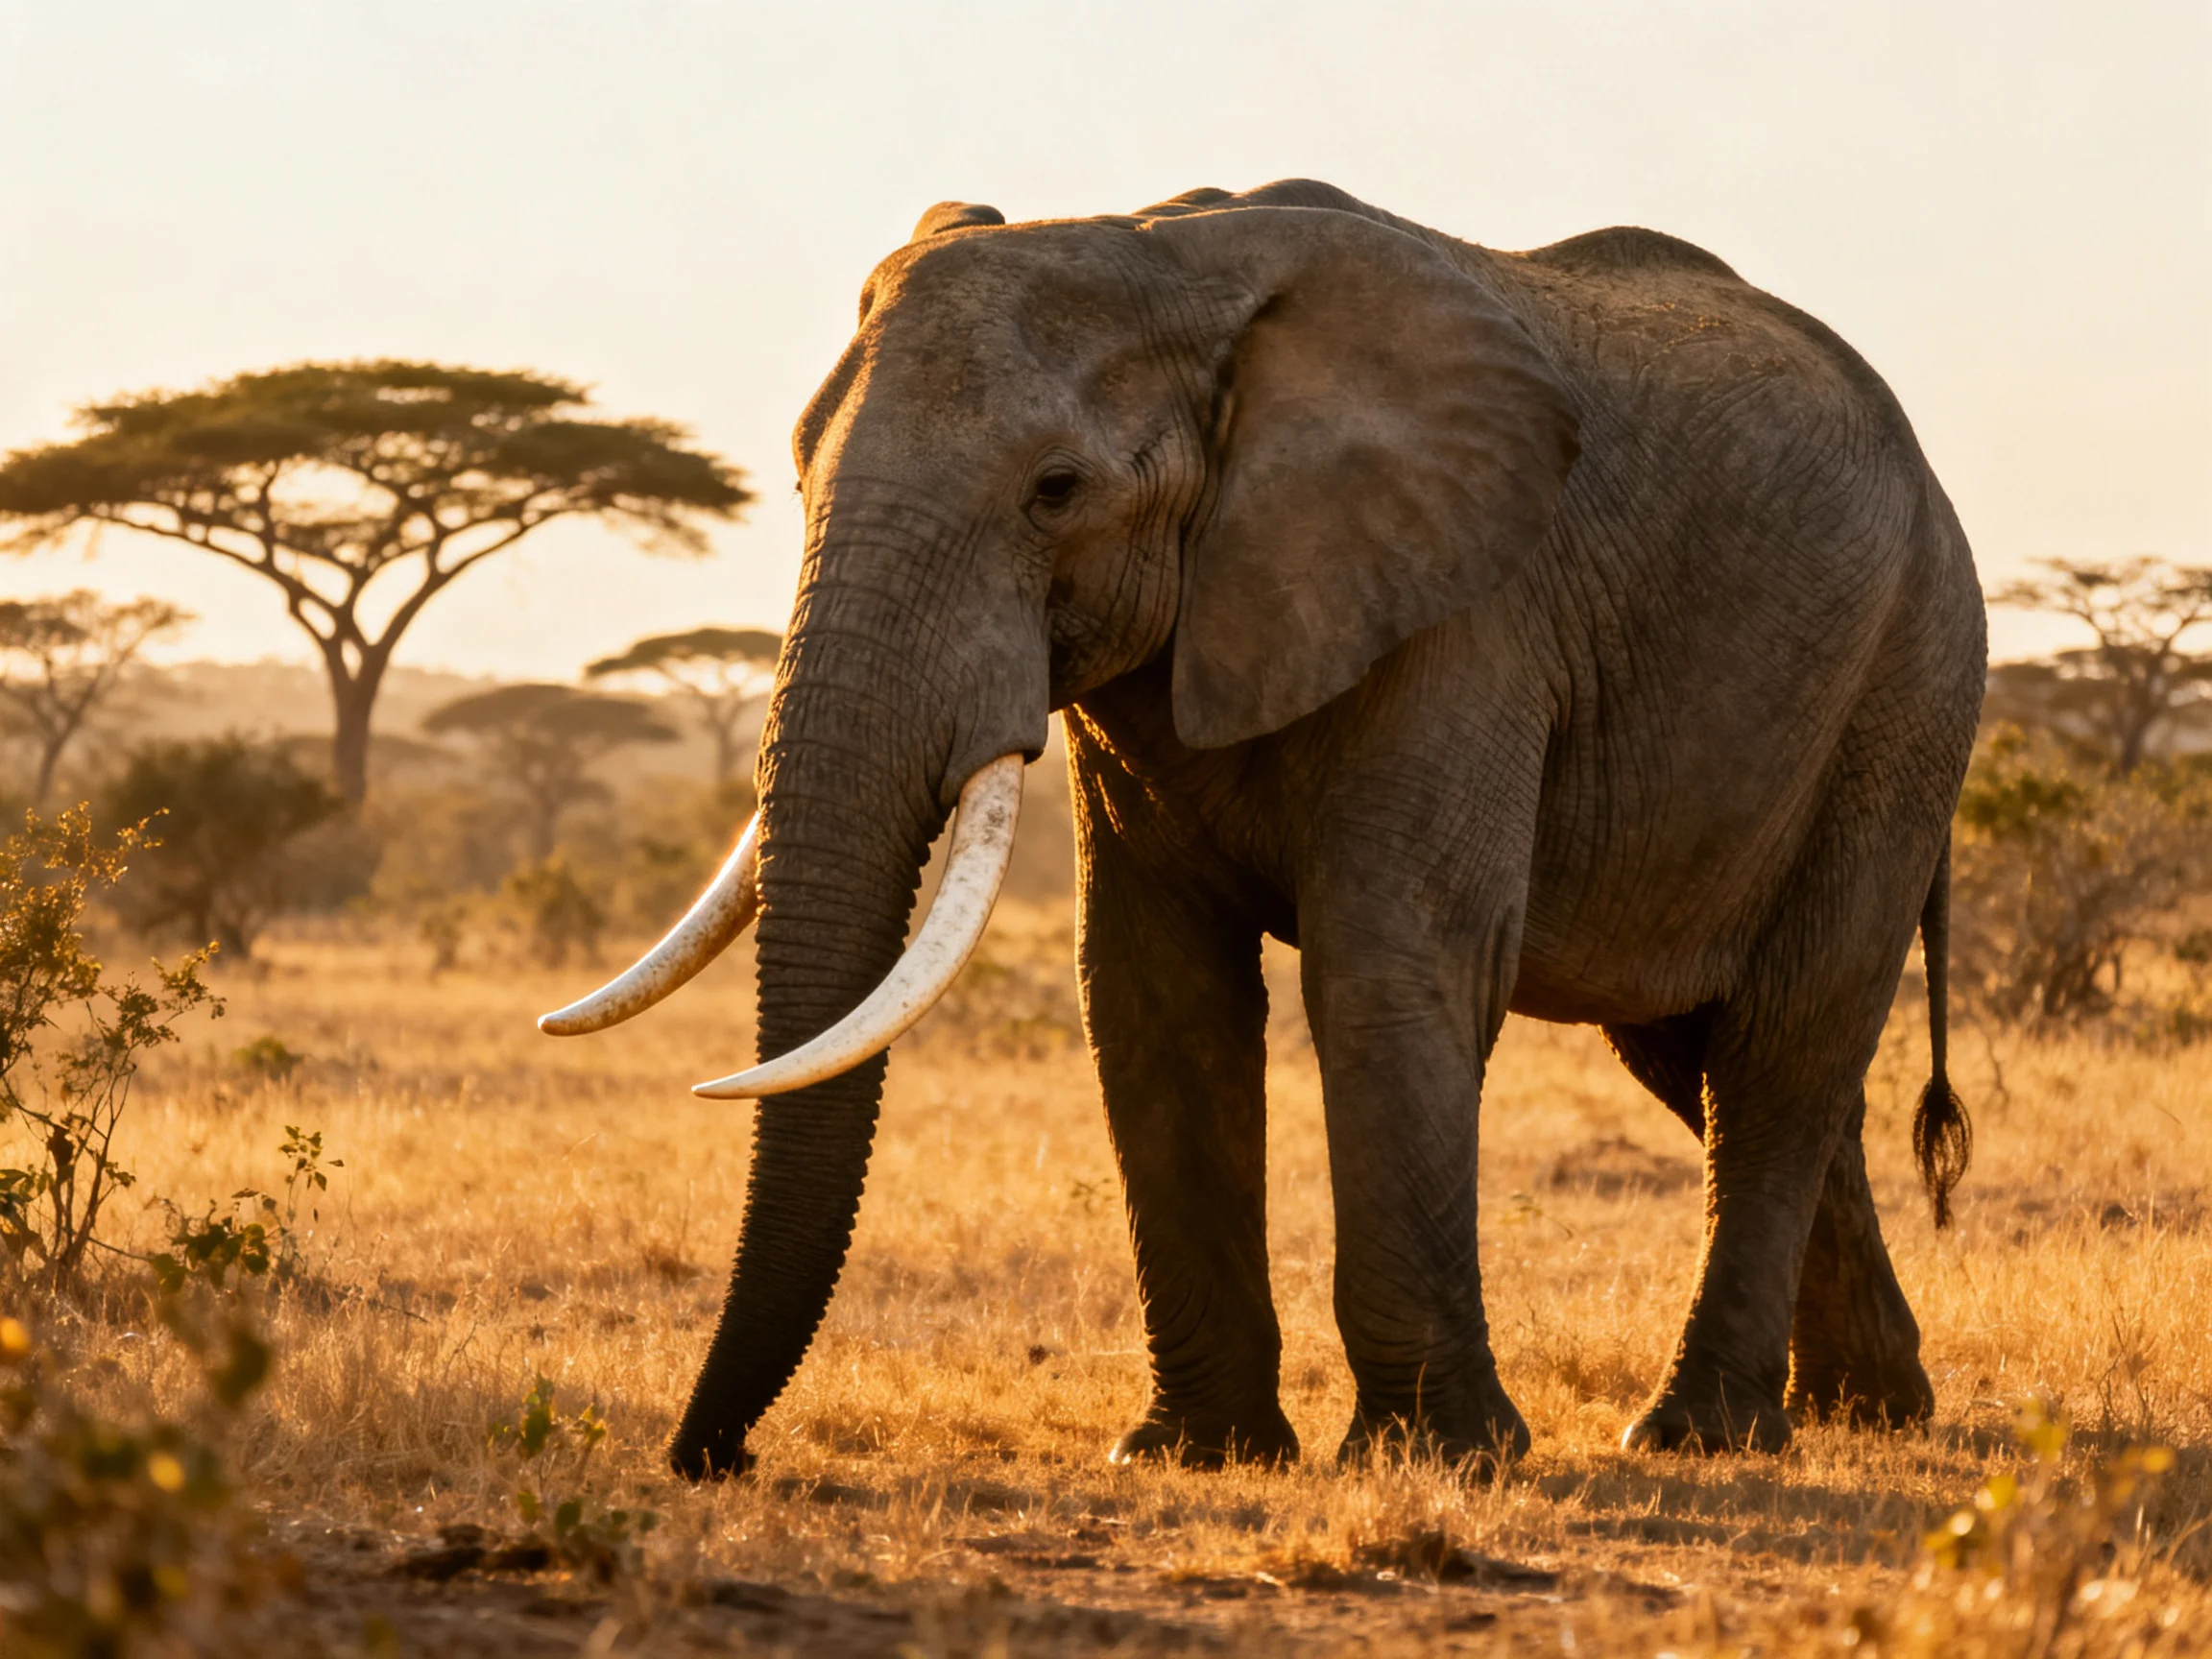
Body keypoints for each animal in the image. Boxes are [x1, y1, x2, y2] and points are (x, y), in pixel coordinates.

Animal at [544, 178, 1986, 1478]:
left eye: (1054, 491)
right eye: (796, 470)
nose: (713, 1459)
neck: (1172, 259)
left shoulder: (1467, 613)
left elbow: (1389, 967)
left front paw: (1437, 1457)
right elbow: (1153, 993)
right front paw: (1194, 1455)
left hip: (1905, 687)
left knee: (1784, 1039)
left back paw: (1702, 1433)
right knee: (1698, 1053)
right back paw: (1870, 1412)